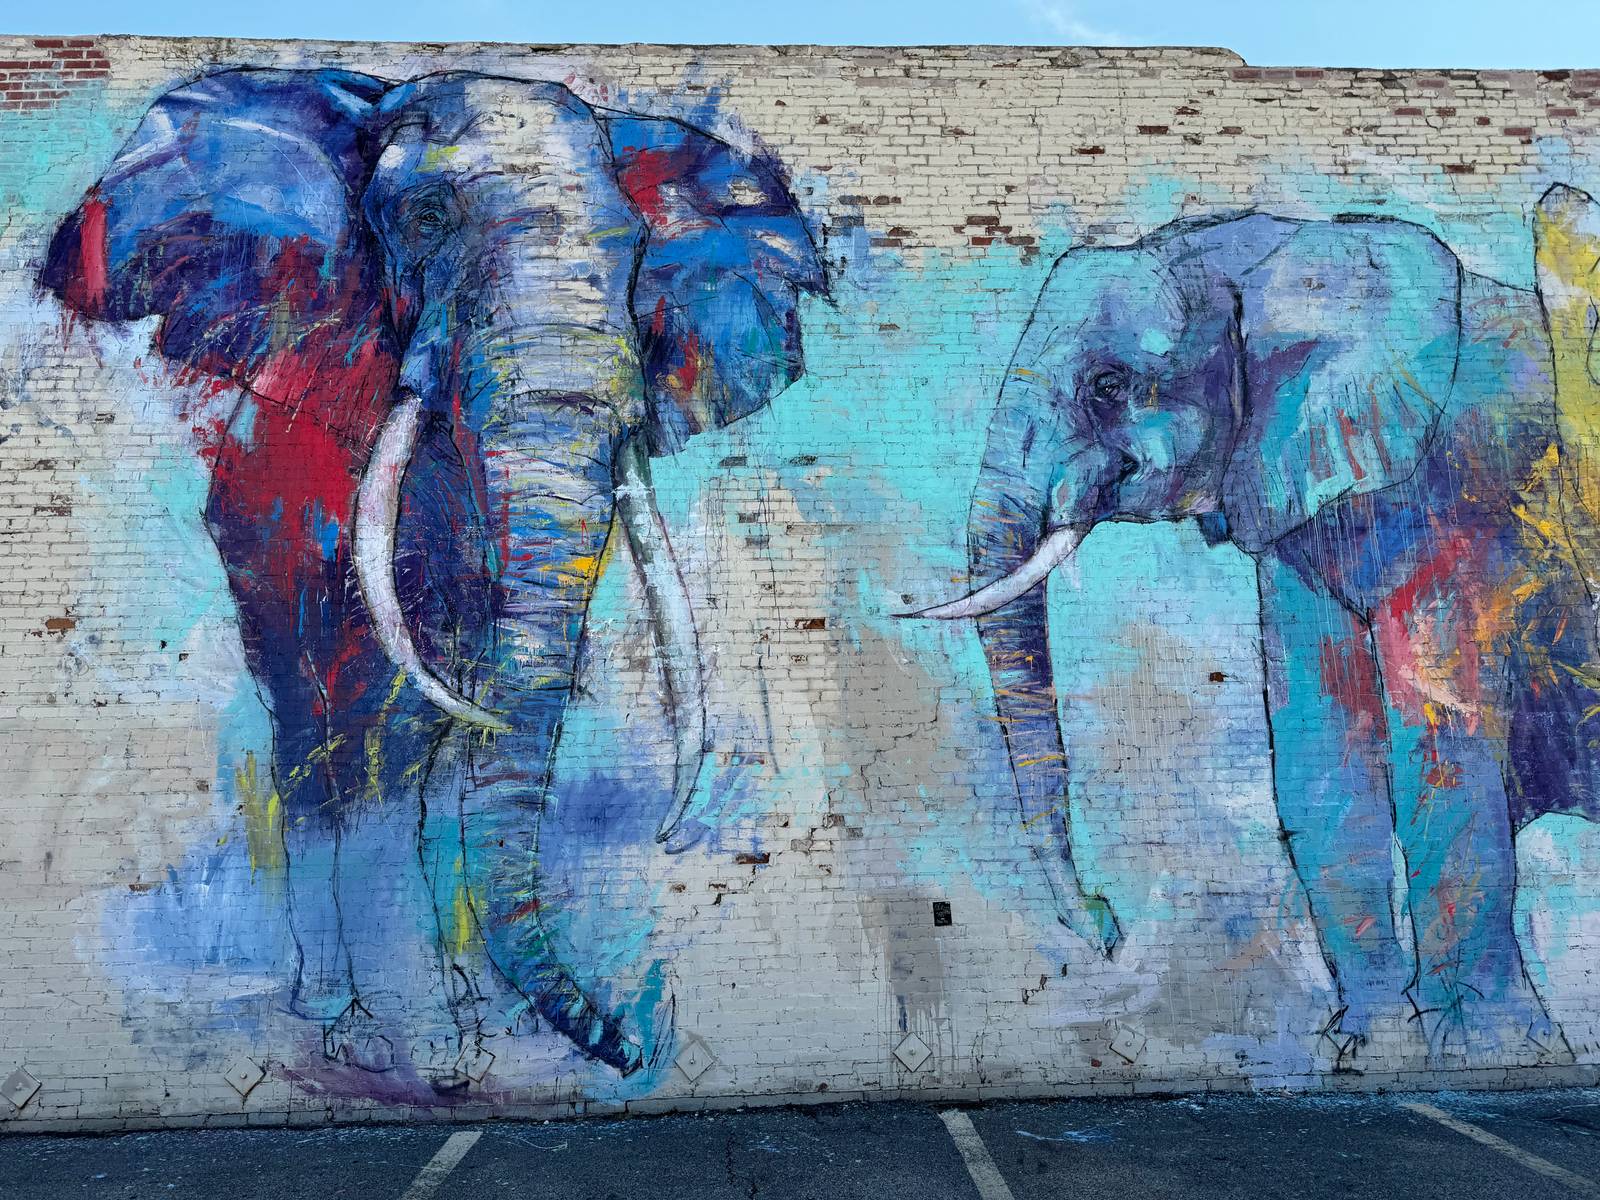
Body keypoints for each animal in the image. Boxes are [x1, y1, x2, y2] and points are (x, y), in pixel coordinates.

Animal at [41, 68, 824, 1084]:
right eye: (426, 217)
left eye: (638, 248)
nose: (625, 1045)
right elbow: (375, 700)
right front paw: (404, 1041)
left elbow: (455, 714)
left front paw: (460, 1033)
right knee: (314, 734)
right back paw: (343, 1018)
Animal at [913, 187, 1600, 1060]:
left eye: (1107, 385)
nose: (1108, 924)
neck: (1274, 253)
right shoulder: (1293, 506)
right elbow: (1318, 748)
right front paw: (1368, 1049)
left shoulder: (1464, 508)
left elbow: (1443, 750)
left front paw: (1498, 1055)